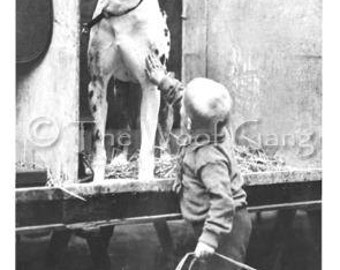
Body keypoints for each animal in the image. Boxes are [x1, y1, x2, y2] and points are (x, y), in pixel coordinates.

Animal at [87, 1, 170, 181]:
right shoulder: (97, 84)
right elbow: (98, 141)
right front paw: (97, 180)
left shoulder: (150, 85)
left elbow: (147, 146)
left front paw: (145, 179)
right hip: (120, 92)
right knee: (124, 124)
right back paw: (120, 159)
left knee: (164, 124)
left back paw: (166, 159)